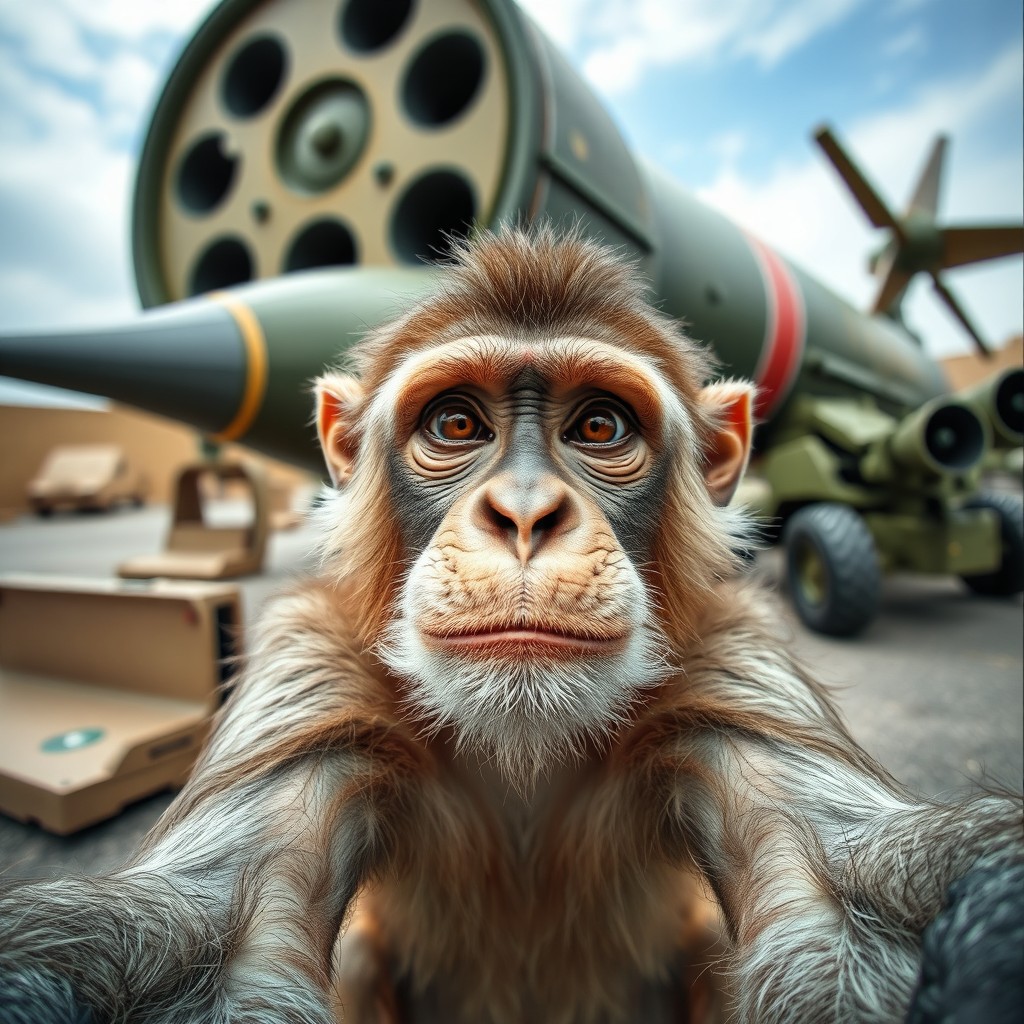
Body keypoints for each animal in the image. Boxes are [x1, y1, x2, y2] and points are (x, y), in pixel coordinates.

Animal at [0, 227, 1020, 1024]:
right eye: (456, 424)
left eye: (601, 428)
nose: (526, 513)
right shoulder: (308, 683)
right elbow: (206, 931)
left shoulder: (738, 675)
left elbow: (848, 901)